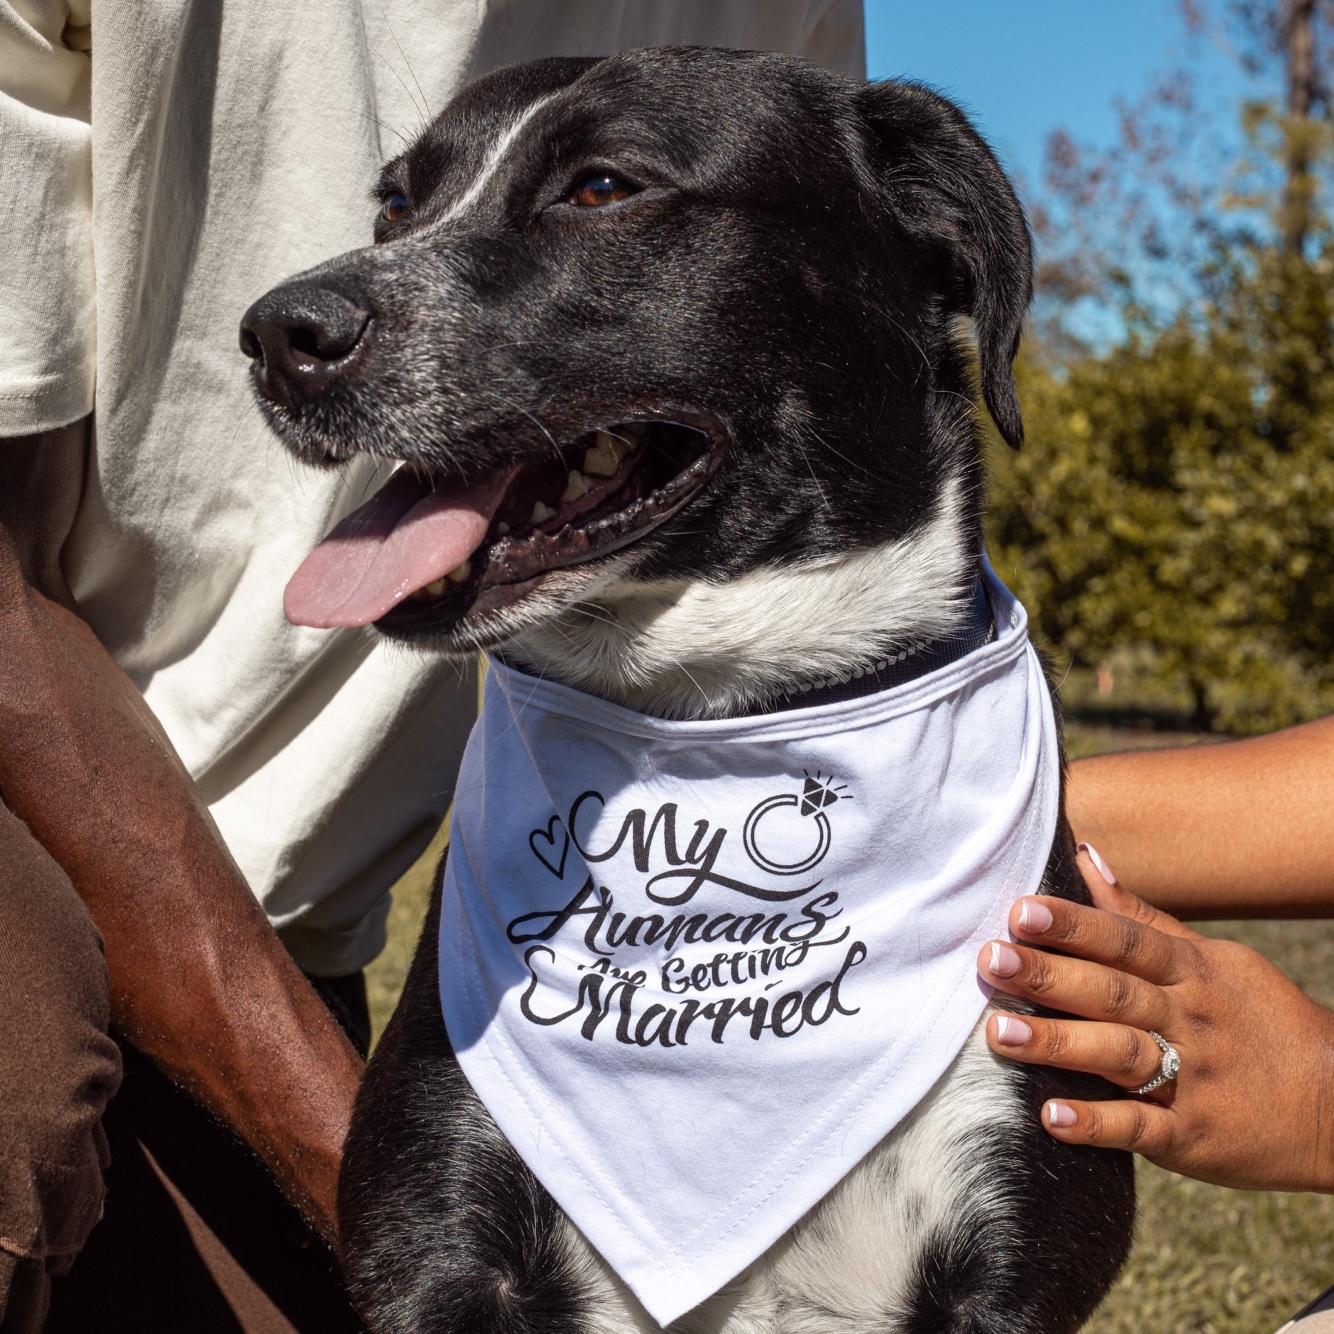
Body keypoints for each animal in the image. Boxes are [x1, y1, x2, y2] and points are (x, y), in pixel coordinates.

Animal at [241, 47, 1134, 1334]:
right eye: (395, 207)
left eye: (602, 188)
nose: (275, 332)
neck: (718, 713)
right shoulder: (433, 1235)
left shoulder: (1011, 1255)